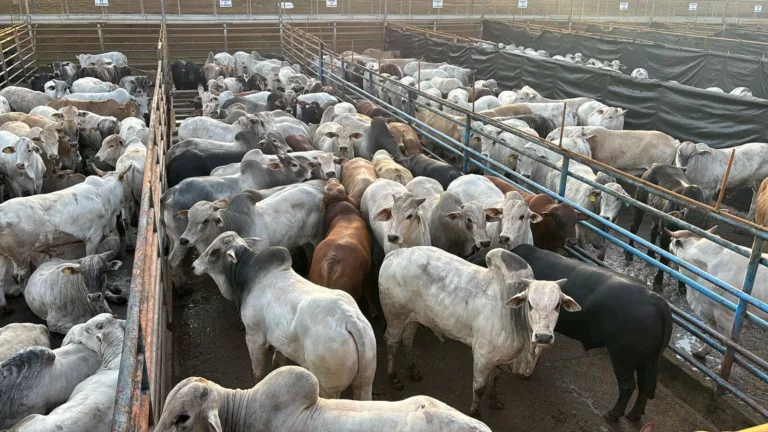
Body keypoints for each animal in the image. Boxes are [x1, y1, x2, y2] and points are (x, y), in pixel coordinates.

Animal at [192, 233, 378, 398]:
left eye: (214, 252)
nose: (193, 265)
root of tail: (349, 319)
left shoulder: (254, 337)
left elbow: (258, 373)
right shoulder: (280, 343)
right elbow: (277, 363)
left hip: (329, 388)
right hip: (365, 382)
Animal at [380, 248, 580, 416]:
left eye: (557, 305)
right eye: (530, 304)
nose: (543, 336)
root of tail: (394, 254)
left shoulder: (498, 359)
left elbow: (495, 379)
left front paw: (495, 401)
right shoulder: (482, 356)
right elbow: (479, 388)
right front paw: (475, 412)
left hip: (413, 318)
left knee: (407, 339)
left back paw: (413, 371)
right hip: (395, 317)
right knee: (391, 342)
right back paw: (393, 378)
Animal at [628, 163, 704, 294]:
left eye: (701, 225)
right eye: (685, 220)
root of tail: (655, 165)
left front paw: (682, 286)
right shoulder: (666, 236)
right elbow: (664, 259)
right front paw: (658, 282)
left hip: (656, 216)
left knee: (653, 230)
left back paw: (651, 253)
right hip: (639, 205)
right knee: (634, 227)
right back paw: (629, 252)